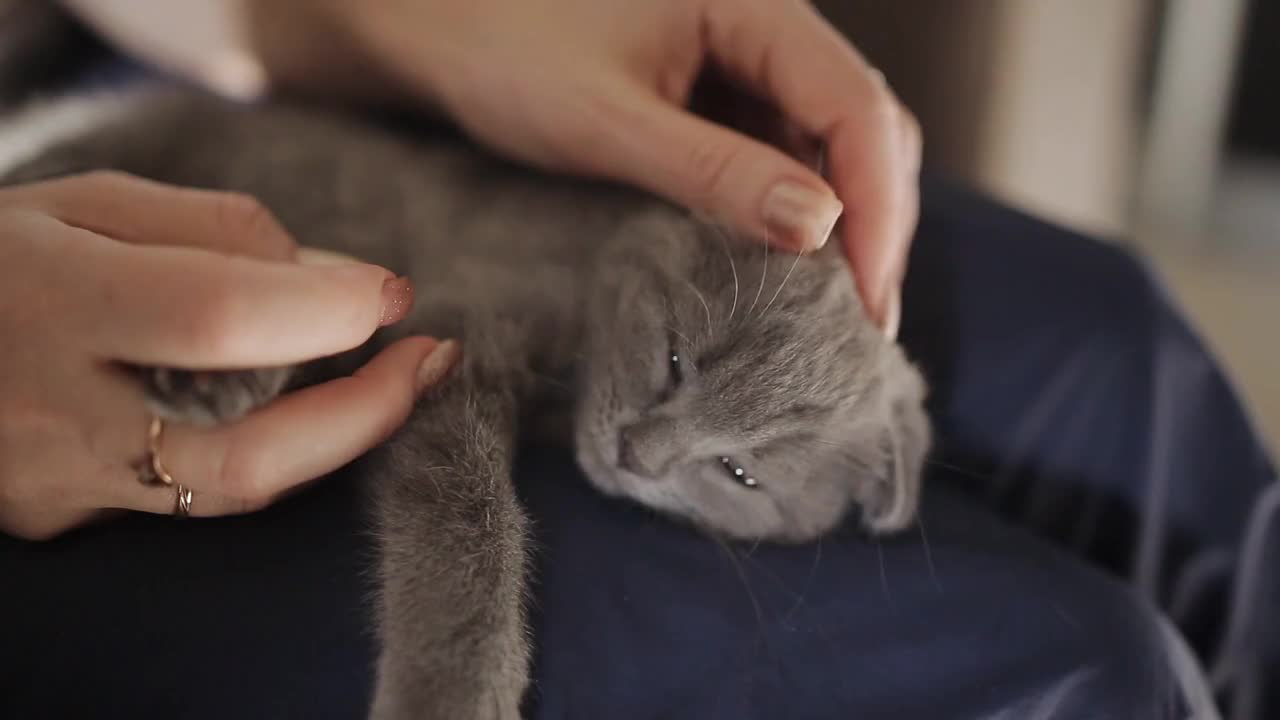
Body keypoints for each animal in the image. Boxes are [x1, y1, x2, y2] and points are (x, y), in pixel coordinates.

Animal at [0, 90, 931, 717]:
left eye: (739, 475)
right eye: (673, 361)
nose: (635, 453)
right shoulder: (449, 312)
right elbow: (468, 523)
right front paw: (450, 697)